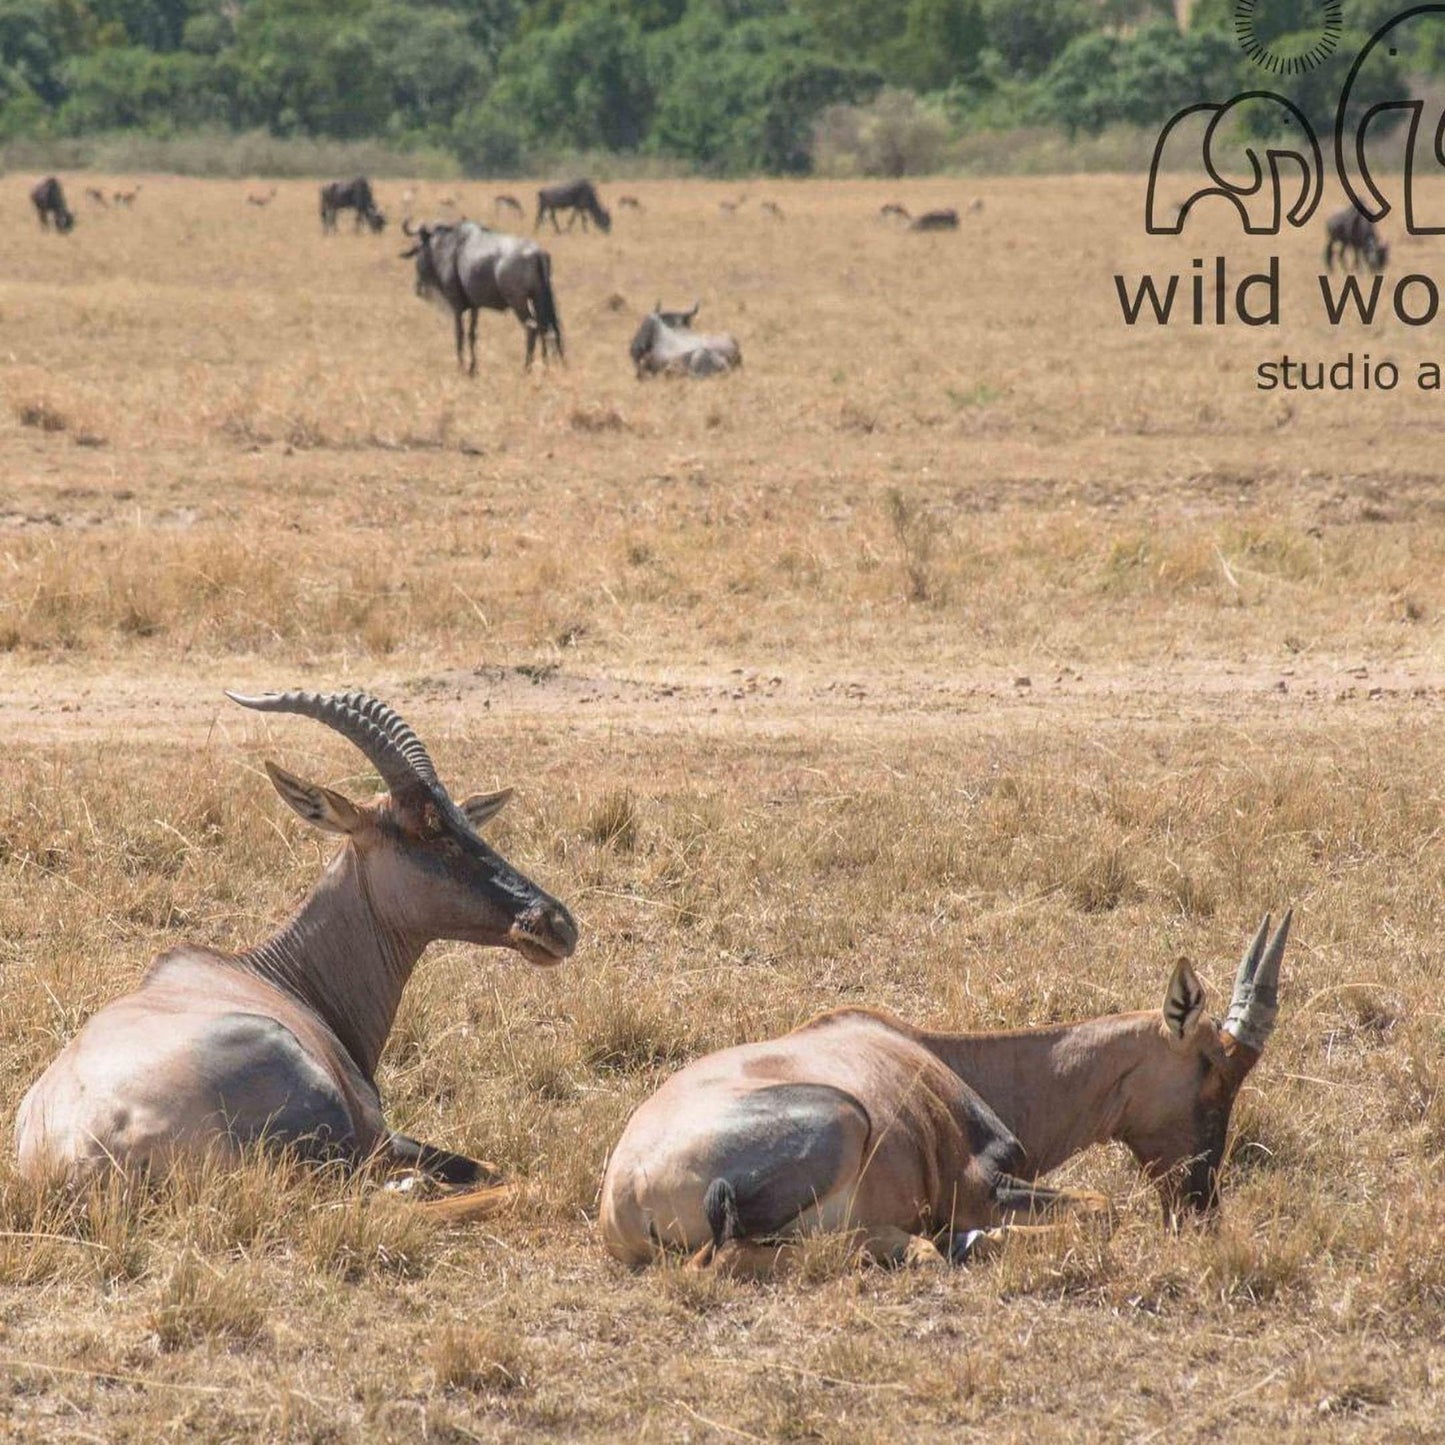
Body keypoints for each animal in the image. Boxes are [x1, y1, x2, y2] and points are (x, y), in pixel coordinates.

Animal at [16, 689, 578, 1188]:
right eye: (426, 829)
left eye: (466, 822)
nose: (556, 923)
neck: (270, 975)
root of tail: (80, 1156)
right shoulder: (379, 1132)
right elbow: (490, 1168)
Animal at [601, 913, 1291, 1273]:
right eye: (1212, 1072)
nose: (1201, 1209)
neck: (934, 1052)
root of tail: (624, 1194)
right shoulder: (978, 1189)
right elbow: (1102, 1207)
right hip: (843, 1119)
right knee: (723, 1259)